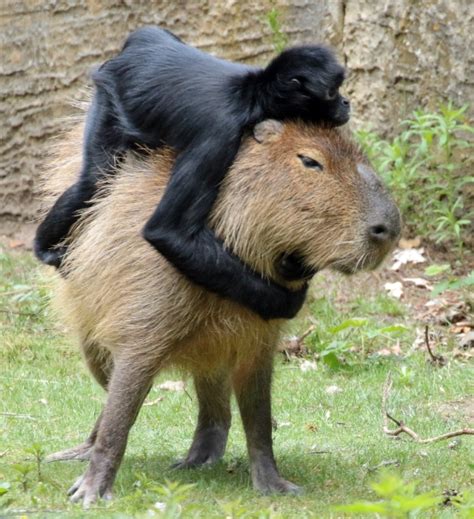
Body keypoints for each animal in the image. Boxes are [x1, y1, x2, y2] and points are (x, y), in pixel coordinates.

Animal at [35, 26, 350, 320]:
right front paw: (287, 302)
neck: (251, 92)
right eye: (333, 92)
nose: (346, 103)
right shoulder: (218, 133)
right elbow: (168, 231)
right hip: (107, 98)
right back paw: (43, 249)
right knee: (93, 180)